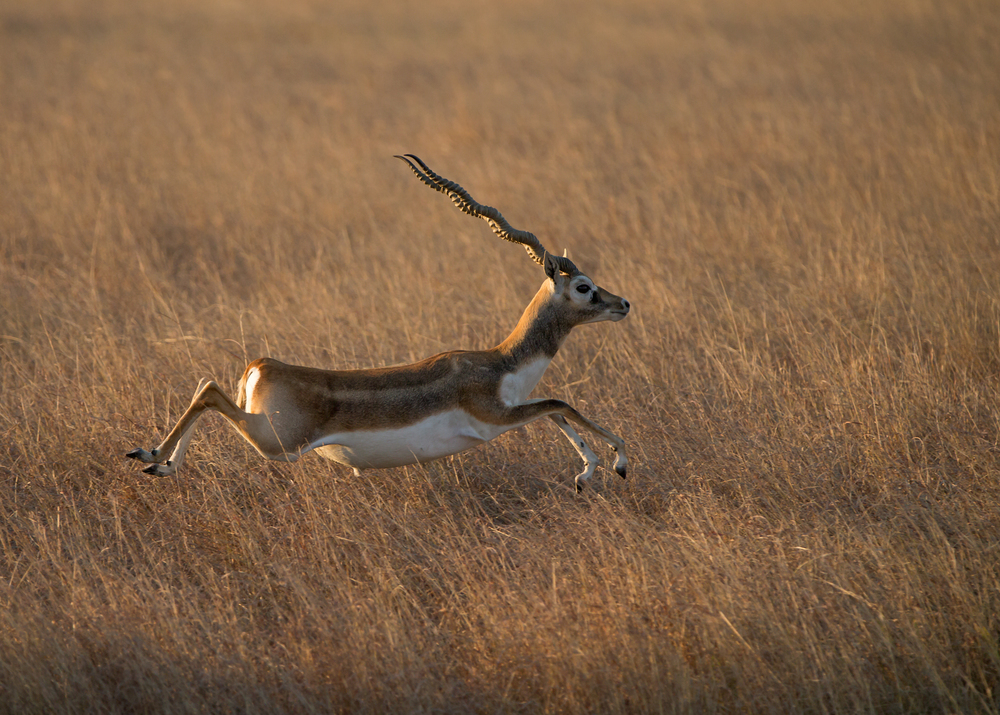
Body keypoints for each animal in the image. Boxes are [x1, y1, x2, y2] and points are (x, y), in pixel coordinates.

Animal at [125, 155, 628, 492]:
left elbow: (557, 410)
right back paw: (150, 454)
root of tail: (262, 366)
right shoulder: (495, 417)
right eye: (583, 286)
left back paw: (160, 463)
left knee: (205, 384)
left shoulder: (514, 409)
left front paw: (587, 473)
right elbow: (561, 403)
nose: (622, 303)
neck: (502, 362)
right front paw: (618, 461)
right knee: (210, 392)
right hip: (277, 443)